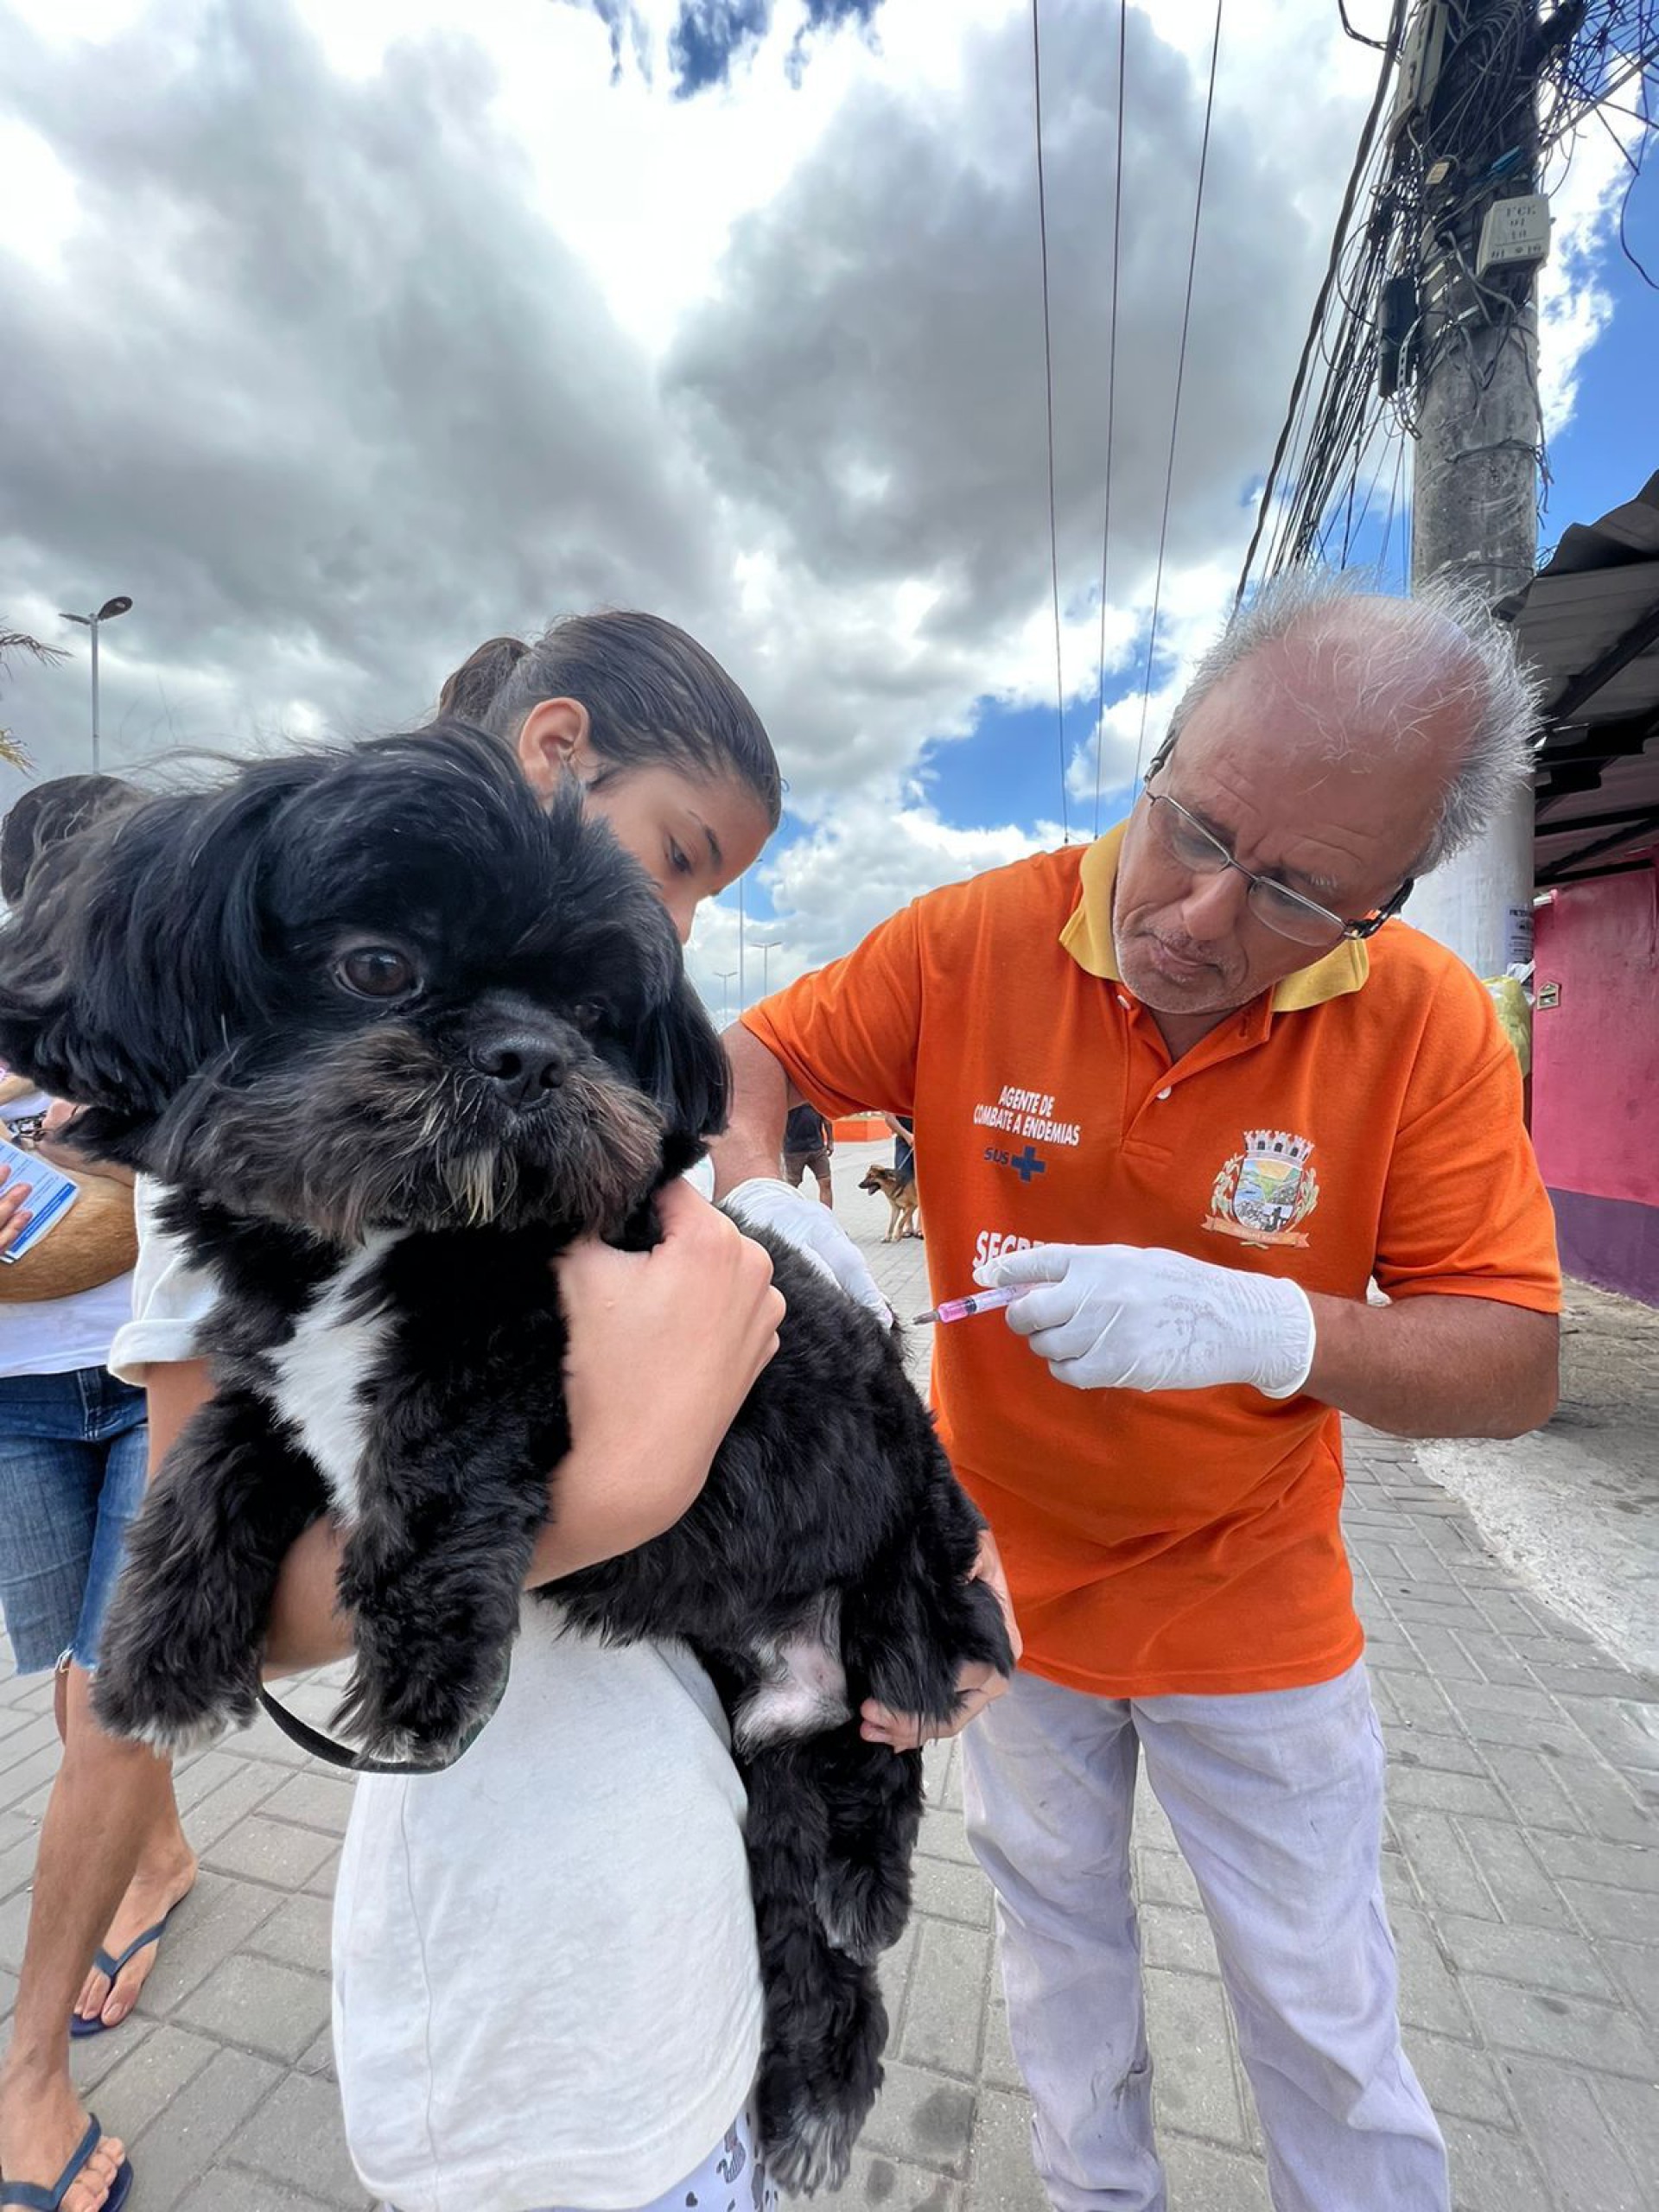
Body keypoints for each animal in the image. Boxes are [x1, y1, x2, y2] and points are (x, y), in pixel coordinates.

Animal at [0, 729, 1013, 2194]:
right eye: (378, 968)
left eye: (596, 1014)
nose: (530, 1055)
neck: (389, 1236)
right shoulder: (276, 1376)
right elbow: (213, 1462)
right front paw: (162, 1645)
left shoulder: (514, 1338)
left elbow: (442, 1451)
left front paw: (424, 1674)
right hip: (775, 1778)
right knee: (809, 1946)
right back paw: (813, 2083)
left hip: (909, 1591)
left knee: (893, 1760)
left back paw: (865, 1900)